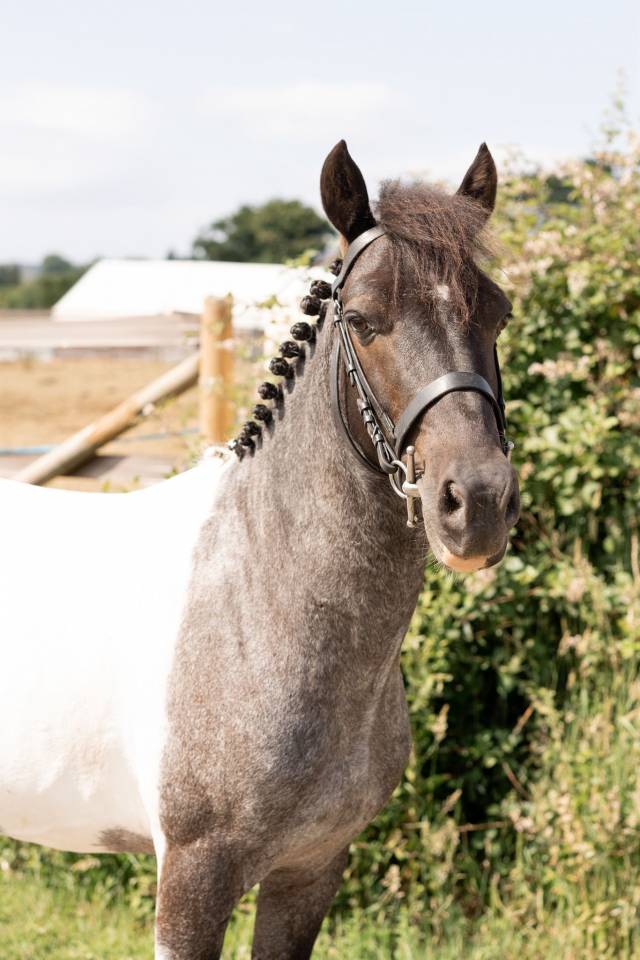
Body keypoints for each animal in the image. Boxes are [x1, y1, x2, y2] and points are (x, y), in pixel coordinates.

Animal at [0, 140, 520, 959]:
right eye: (363, 320)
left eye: (498, 313)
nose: (478, 504)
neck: (260, 599)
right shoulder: (192, 880)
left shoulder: (310, 872)